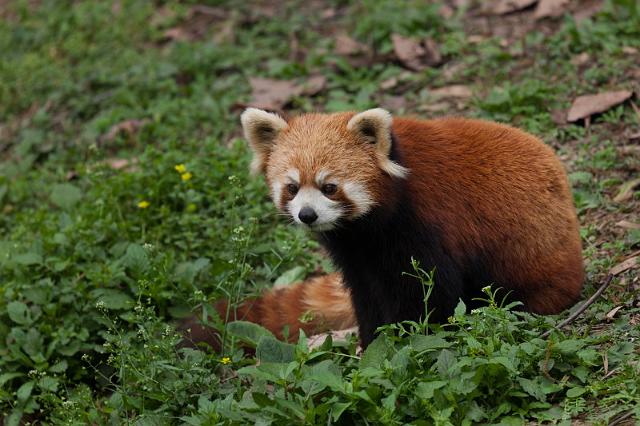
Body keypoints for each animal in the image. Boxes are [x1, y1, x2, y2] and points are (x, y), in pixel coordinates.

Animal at [239, 105, 584, 346]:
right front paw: (373, 341)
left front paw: (406, 339)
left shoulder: (427, 224)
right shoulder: (357, 254)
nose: (307, 215)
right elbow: (366, 295)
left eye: (329, 187)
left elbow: (430, 294)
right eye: (292, 187)